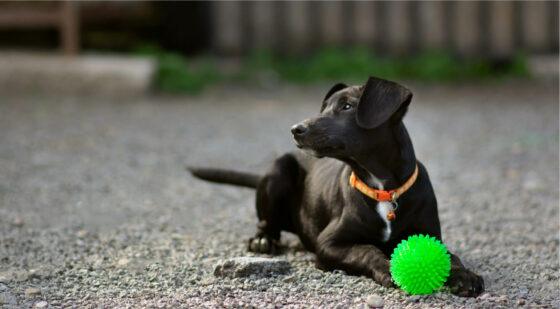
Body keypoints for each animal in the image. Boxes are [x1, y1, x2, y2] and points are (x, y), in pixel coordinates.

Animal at [190, 76, 484, 294]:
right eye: (323, 109)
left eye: (348, 107)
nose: (296, 129)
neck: (383, 188)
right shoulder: (328, 243)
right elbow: (366, 250)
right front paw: (387, 267)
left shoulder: (431, 235)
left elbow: (452, 256)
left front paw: (465, 276)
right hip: (278, 171)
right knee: (266, 224)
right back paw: (263, 241)